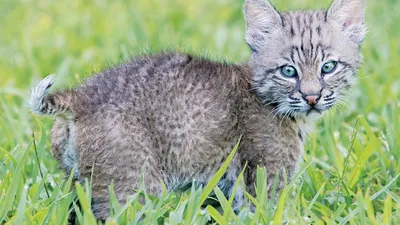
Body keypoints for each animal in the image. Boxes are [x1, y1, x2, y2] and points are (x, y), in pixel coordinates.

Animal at [29, 0, 364, 219]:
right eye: (288, 71)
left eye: (328, 67)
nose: (312, 97)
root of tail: (81, 95)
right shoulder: (265, 177)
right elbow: (269, 214)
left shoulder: (222, 189)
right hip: (134, 188)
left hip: (78, 185)